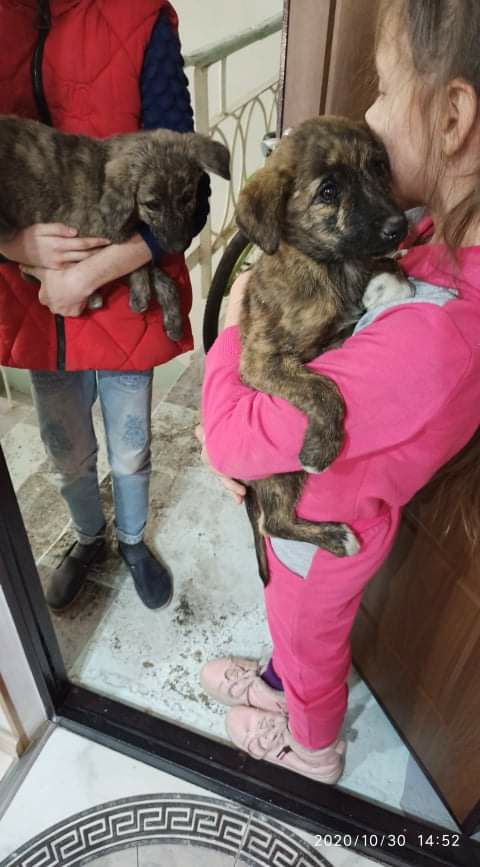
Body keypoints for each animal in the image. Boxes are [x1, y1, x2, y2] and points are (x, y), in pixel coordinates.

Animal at [0, 116, 230, 340]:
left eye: (187, 197)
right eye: (152, 204)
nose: (178, 247)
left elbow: (162, 278)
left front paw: (172, 320)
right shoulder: (88, 240)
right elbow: (143, 268)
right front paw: (141, 292)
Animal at [235, 115, 412, 583]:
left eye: (379, 167)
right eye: (328, 191)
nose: (399, 227)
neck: (332, 267)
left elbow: (391, 270)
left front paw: (391, 281)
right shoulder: (260, 360)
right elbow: (321, 387)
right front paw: (322, 446)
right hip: (280, 473)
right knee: (272, 522)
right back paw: (336, 536)